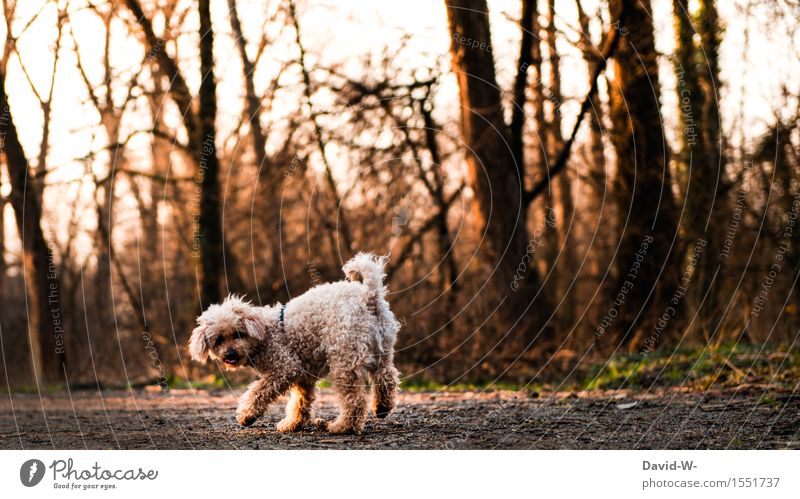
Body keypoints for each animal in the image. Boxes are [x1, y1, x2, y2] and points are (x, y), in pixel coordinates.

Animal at [188, 254, 400, 434]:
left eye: (239, 334)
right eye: (219, 339)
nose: (230, 354)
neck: (266, 332)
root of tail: (369, 296)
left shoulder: (285, 369)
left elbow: (258, 391)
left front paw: (247, 415)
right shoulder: (303, 376)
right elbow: (300, 401)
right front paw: (294, 423)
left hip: (344, 359)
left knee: (355, 400)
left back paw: (341, 427)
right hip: (382, 350)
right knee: (387, 377)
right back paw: (382, 407)